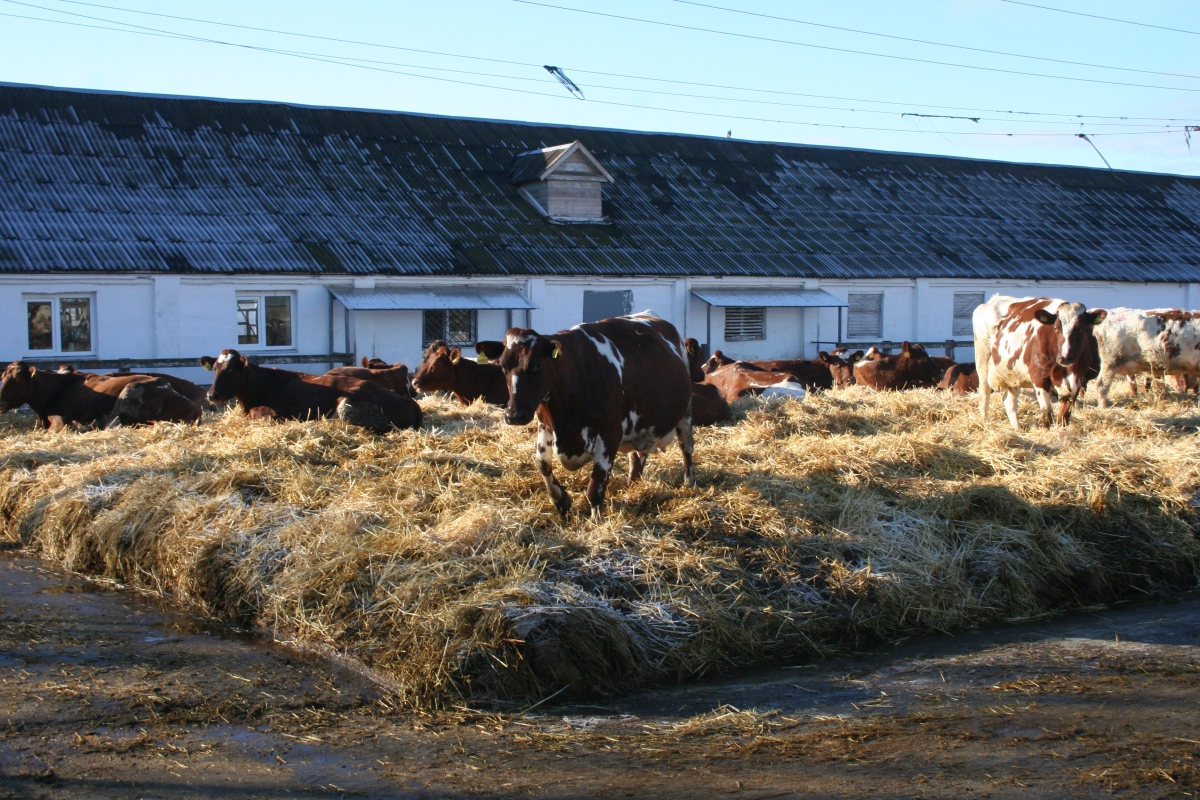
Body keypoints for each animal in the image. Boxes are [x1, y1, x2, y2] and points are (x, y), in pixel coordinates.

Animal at [199, 352, 420, 434]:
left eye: (231, 370)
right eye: (215, 369)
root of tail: (411, 403)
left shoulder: (269, 414)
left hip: (346, 406)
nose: (211, 395)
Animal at [494, 309, 696, 522]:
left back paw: (689, 482)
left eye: (537, 365)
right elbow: (542, 464)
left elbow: (596, 485)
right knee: (637, 457)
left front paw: (595, 520)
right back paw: (631, 485)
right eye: (503, 367)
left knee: (686, 447)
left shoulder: (609, 435)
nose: (514, 415)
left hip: (686, 411)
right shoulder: (545, 425)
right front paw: (561, 500)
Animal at [974, 296, 1104, 431]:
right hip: (983, 359)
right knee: (984, 393)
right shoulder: (1039, 378)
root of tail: (995, 298)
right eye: (1056, 329)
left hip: (1012, 374)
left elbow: (1064, 416)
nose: (1064, 358)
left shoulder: (1077, 381)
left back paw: (1017, 428)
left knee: (1009, 399)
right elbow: (1046, 413)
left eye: (1082, 329)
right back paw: (985, 422)